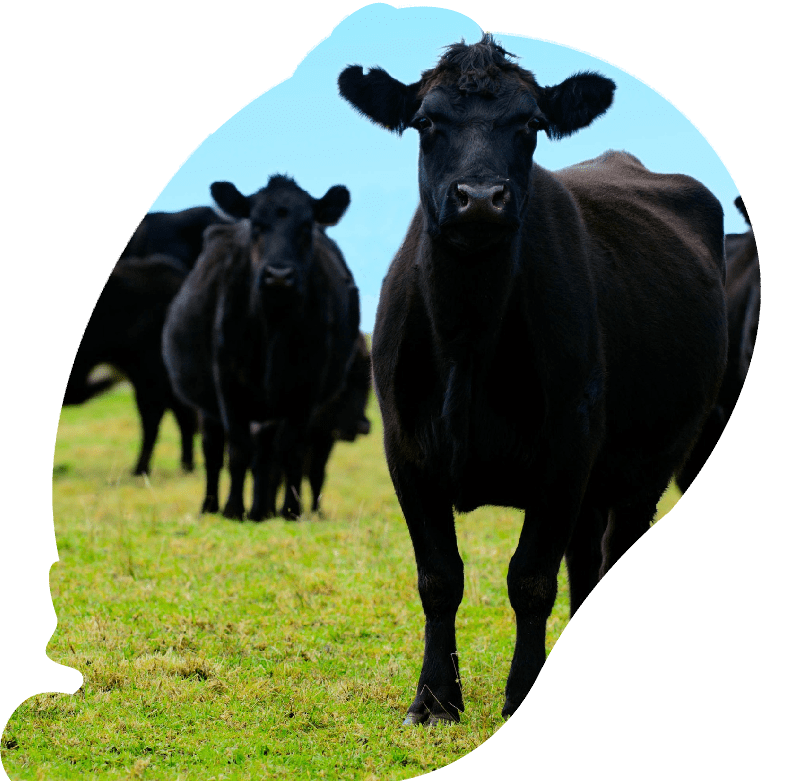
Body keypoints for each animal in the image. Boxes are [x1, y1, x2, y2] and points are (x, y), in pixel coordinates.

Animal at [162, 174, 360, 520]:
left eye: (306, 226)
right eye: (256, 224)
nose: (278, 275)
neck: (273, 326)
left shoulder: (306, 388)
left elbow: (290, 449)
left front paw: (290, 511)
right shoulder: (228, 384)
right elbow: (237, 449)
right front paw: (232, 509)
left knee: (267, 454)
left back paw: (261, 510)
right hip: (209, 406)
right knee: (213, 450)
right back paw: (211, 505)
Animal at [340, 33, 728, 724]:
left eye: (531, 125)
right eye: (426, 122)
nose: (479, 197)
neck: (468, 339)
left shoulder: (566, 451)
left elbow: (529, 580)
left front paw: (521, 694)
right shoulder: (405, 450)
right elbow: (439, 578)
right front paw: (433, 700)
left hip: (649, 462)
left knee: (613, 550)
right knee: (585, 562)